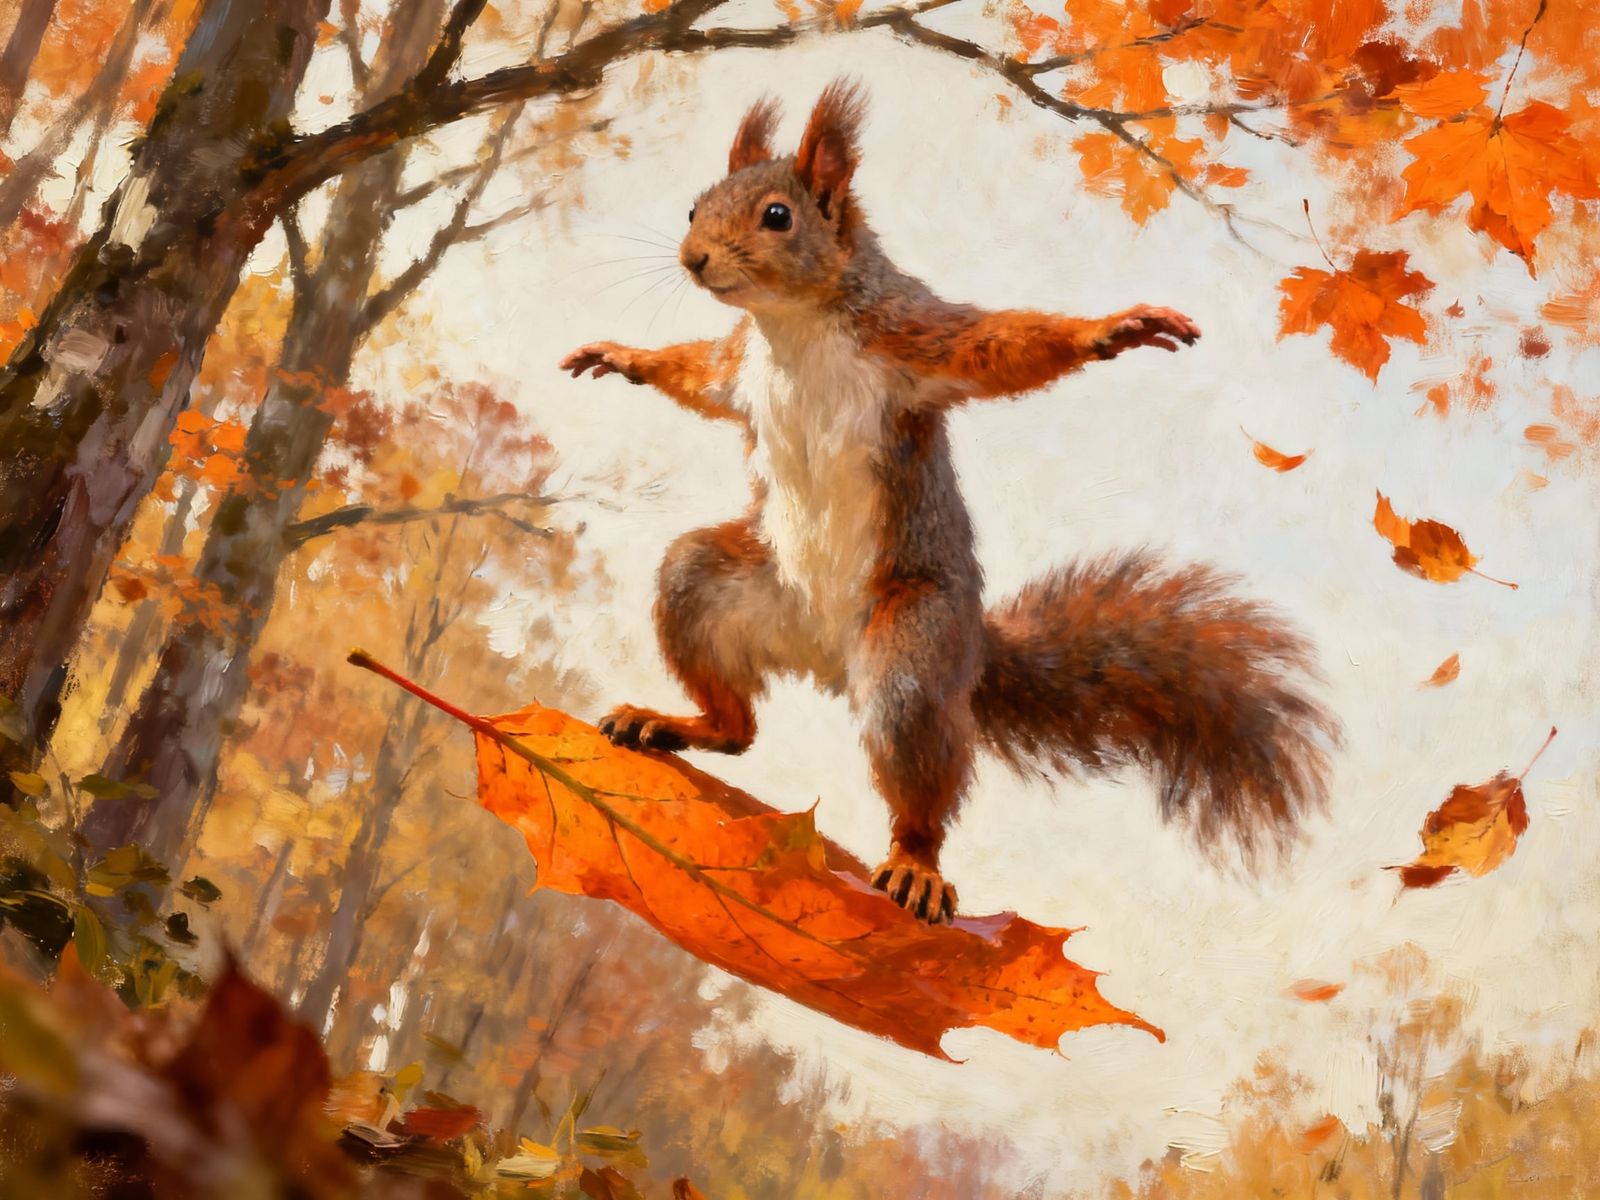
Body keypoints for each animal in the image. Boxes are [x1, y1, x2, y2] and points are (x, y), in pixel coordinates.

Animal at [560, 80, 1336, 925]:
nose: (694, 259)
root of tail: (830, 658)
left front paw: (1112, 330)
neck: (793, 323)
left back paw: (916, 864)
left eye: (777, 215)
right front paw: (621, 356)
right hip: (717, 587)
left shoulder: (914, 337)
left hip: (912, 650)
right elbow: (693, 373)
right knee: (736, 723)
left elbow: (1002, 345)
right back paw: (675, 721)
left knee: (917, 778)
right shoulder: (737, 365)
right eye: (695, 207)